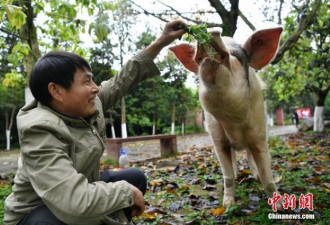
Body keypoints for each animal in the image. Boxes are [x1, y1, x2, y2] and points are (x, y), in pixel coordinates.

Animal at [170, 27, 284, 209]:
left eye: (235, 55)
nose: (210, 30)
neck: (232, 122)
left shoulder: (259, 135)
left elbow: (267, 174)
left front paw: (279, 206)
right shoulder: (218, 139)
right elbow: (227, 175)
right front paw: (228, 204)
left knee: (249, 154)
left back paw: (255, 175)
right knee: (233, 158)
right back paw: (238, 175)